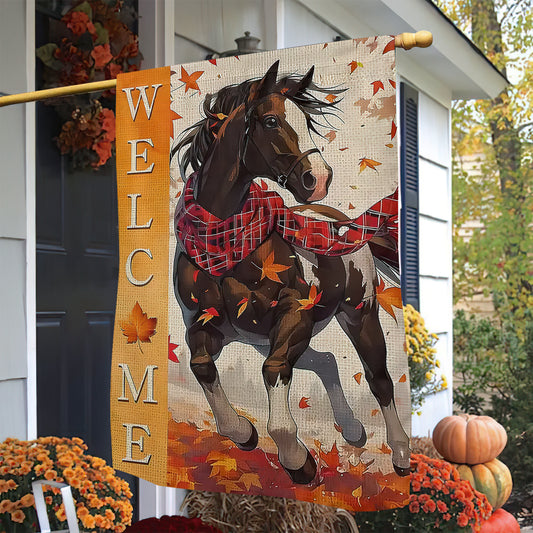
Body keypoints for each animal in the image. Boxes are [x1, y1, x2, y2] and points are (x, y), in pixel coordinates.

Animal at [170, 61, 408, 482]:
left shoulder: (295, 314)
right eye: (270, 120)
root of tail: (344, 223)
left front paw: (298, 460)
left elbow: (274, 374)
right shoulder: (206, 322)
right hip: (262, 338)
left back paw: (399, 454)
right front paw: (243, 432)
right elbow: (201, 366)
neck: (226, 247)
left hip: (358, 314)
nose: (320, 178)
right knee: (326, 361)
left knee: (379, 380)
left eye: (307, 122)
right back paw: (353, 429)